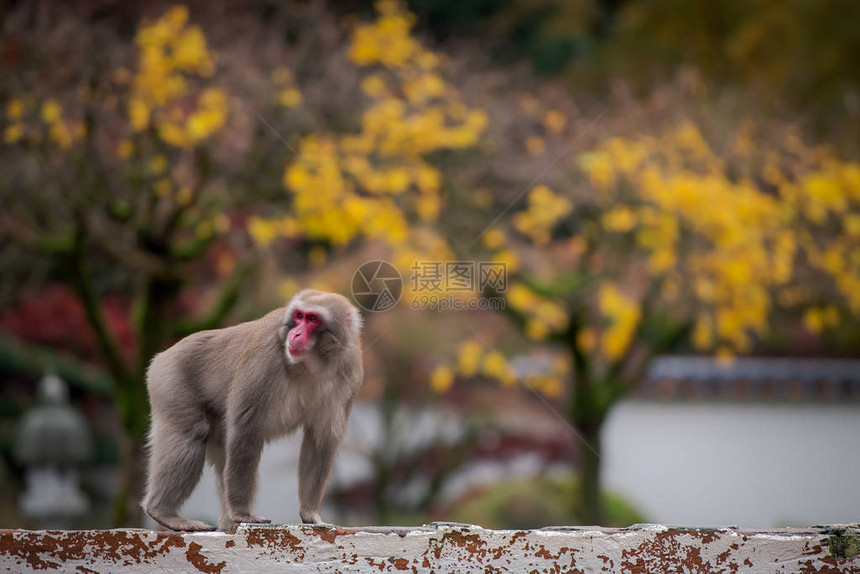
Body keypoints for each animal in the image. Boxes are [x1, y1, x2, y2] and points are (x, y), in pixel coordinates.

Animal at [141, 290, 362, 532]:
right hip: (170, 380)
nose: (295, 333)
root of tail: (161, 356)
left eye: (312, 319)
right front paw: (242, 513)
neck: (310, 364)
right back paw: (164, 512)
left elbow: (320, 441)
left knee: (221, 446)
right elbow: (246, 430)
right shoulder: (265, 360)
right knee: (191, 433)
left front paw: (310, 513)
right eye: (299, 316)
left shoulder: (349, 373)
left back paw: (225, 522)